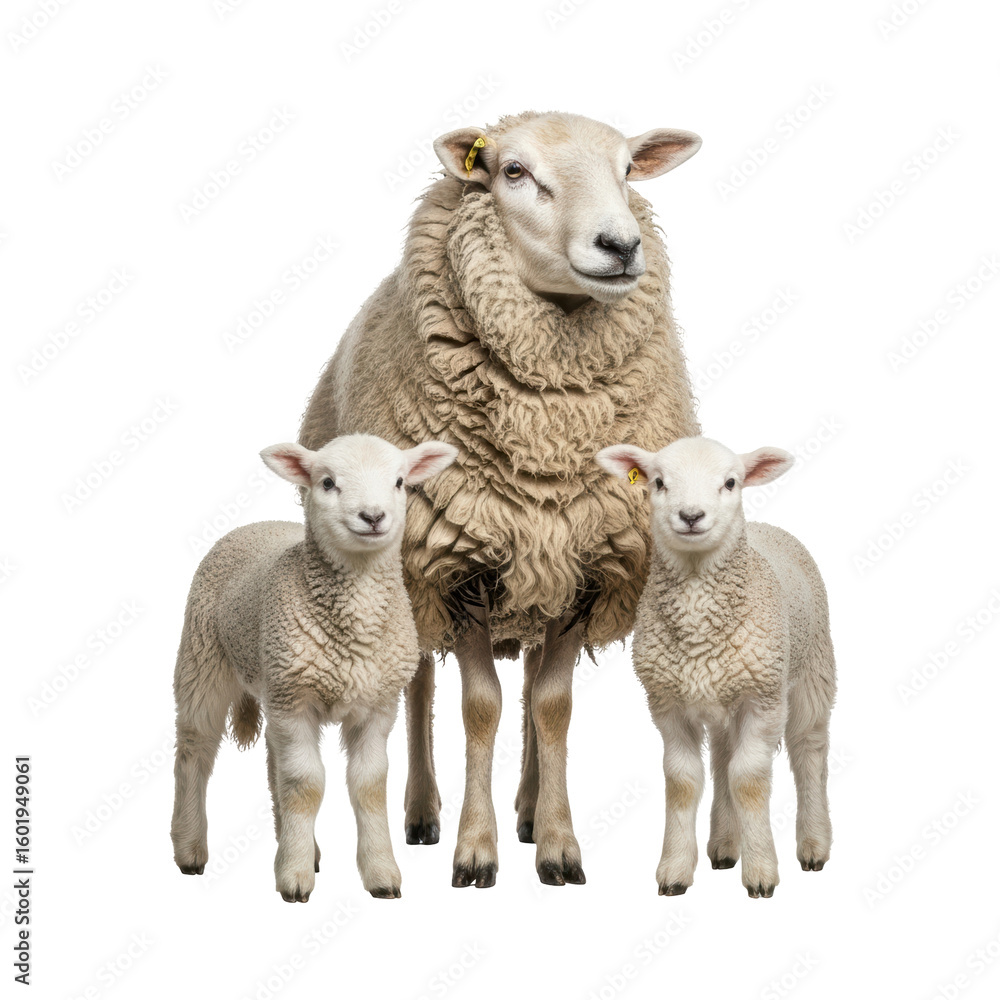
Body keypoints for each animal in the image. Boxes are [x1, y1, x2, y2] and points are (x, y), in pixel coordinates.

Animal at [170, 433, 458, 902]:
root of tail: (260, 523)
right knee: (194, 752)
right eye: (327, 482)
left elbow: (368, 785)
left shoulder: (376, 704)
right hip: (203, 661)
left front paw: (380, 874)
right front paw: (294, 878)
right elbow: (306, 785)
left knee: (273, 759)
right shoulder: (297, 700)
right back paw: (190, 849)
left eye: (399, 482)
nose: (373, 516)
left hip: (273, 680)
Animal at [299, 111, 702, 888]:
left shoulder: (586, 561)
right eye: (513, 171)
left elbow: (551, 706)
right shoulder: (453, 564)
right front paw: (474, 849)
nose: (621, 245)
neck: (548, 428)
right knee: (420, 686)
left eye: (627, 170)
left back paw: (528, 808)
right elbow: (478, 706)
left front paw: (558, 844)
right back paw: (423, 813)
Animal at [596, 436, 836, 898]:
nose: (691, 516)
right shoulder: (666, 702)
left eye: (730, 482)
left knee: (809, 751)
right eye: (658, 481)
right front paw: (675, 870)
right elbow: (684, 781)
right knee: (724, 757)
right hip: (724, 693)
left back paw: (814, 845)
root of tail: (769, 528)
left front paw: (761, 872)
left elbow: (749, 780)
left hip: (812, 667)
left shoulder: (763, 699)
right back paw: (725, 846)